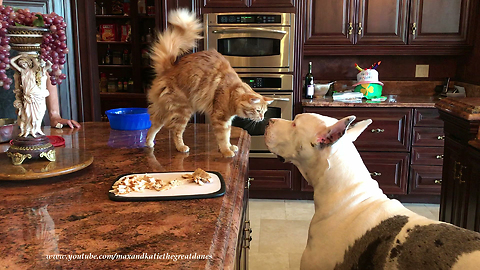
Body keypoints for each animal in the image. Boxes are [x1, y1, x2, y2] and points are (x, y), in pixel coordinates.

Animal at [146, 9, 272, 157]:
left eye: (264, 112)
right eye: (258, 110)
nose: (262, 118)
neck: (232, 91)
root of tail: (170, 68)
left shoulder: (227, 120)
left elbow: (228, 135)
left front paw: (230, 147)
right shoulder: (220, 118)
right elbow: (223, 137)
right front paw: (226, 151)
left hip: (165, 110)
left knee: (153, 125)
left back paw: (149, 142)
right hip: (183, 111)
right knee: (175, 131)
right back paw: (181, 147)